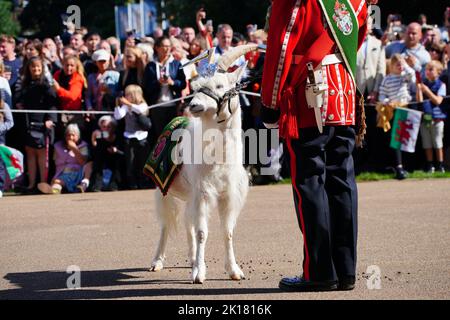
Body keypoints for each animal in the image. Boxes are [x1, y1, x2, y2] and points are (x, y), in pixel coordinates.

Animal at [149, 44, 258, 282]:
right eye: (196, 87)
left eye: (219, 85)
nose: (194, 105)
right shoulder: (203, 192)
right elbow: (202, 233)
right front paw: (199, 273)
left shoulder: (227, 194)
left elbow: (227, 231)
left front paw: (234, 270)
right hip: (165, 190)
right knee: (166, 224)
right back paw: (157, 262)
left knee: (187, 222)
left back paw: (190, 259)